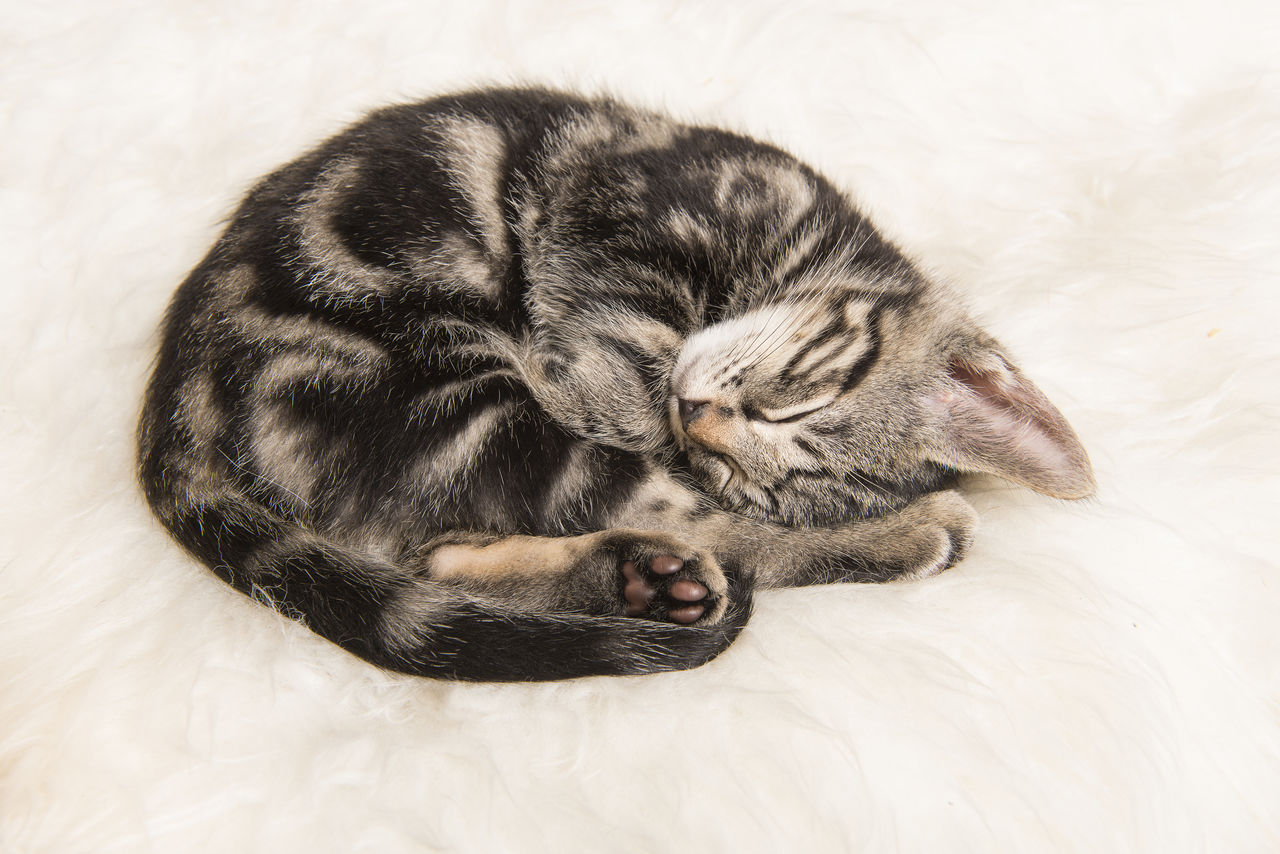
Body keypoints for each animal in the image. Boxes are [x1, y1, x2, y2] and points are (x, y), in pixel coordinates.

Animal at [142, 88, 1100, 681]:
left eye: (750, 469)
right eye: (793, 402)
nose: (697, 419)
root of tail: (171, 412)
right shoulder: (627, 216)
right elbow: (626, 351)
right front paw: (604, 385)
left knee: (457, 549)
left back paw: (645, 579)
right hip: (450, 394)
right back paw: (910, 535)